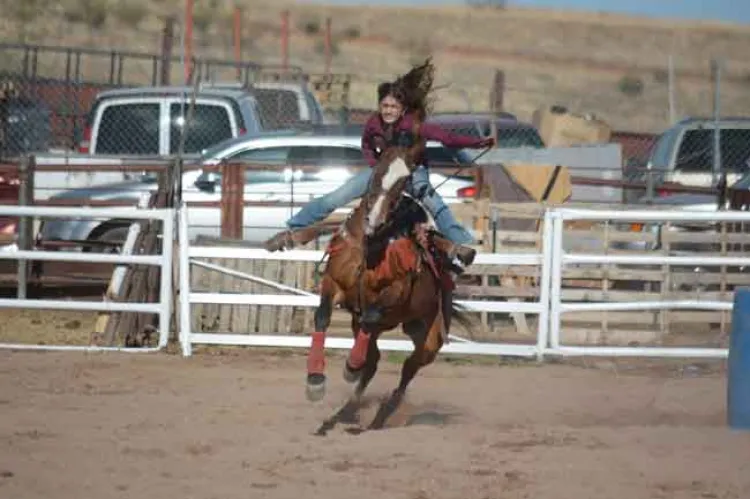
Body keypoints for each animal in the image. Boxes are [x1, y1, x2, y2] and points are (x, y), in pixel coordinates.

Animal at [268, 124, 472, 434]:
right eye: (377, 170)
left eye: (405, 179)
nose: (374, 218)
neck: (371, 244)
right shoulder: (334, 284)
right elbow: (322, 318)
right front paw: (315, 381)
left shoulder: (393, 294)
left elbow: (372, 315)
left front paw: (349, 368)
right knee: (373, 360)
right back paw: (344, 412)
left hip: (431, 339)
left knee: (408, 367)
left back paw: (377, 416)